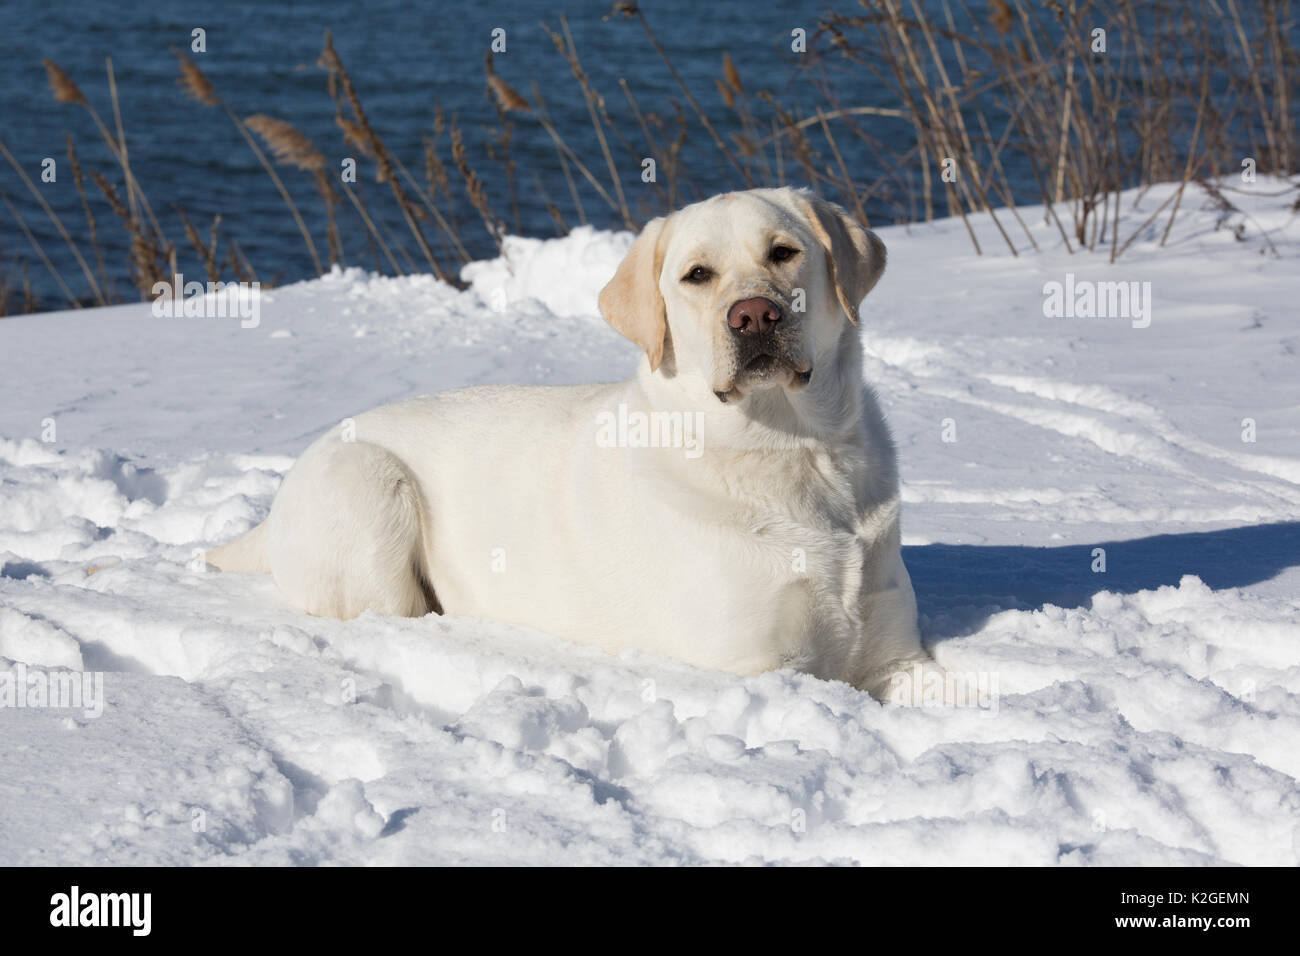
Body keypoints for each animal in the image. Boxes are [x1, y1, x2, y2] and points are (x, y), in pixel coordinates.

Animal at [213, 187, 941, 697]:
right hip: (369, 486)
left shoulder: (898, 657)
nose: (755, 315)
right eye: (697, 275)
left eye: (784, 252)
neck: (795, 451)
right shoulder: (755, 663)